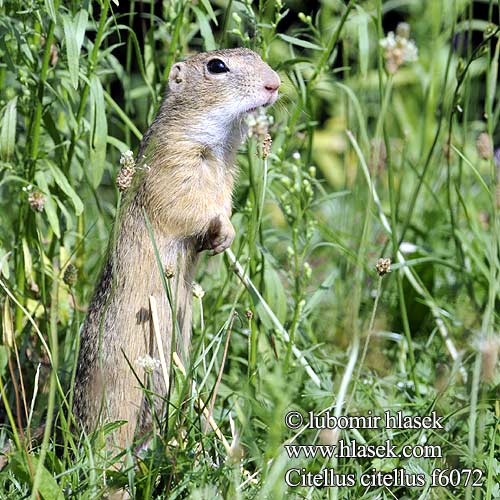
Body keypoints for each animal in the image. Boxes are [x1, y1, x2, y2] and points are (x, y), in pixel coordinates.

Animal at [73, 48, 282, 448]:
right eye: (217, 66)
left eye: (256, 54)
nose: (275, 83)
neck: (218, 147)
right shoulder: (175, 165)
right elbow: (191, 206)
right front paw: (223, 229)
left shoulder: (226, 178)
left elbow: (220, 208)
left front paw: (223, 238)